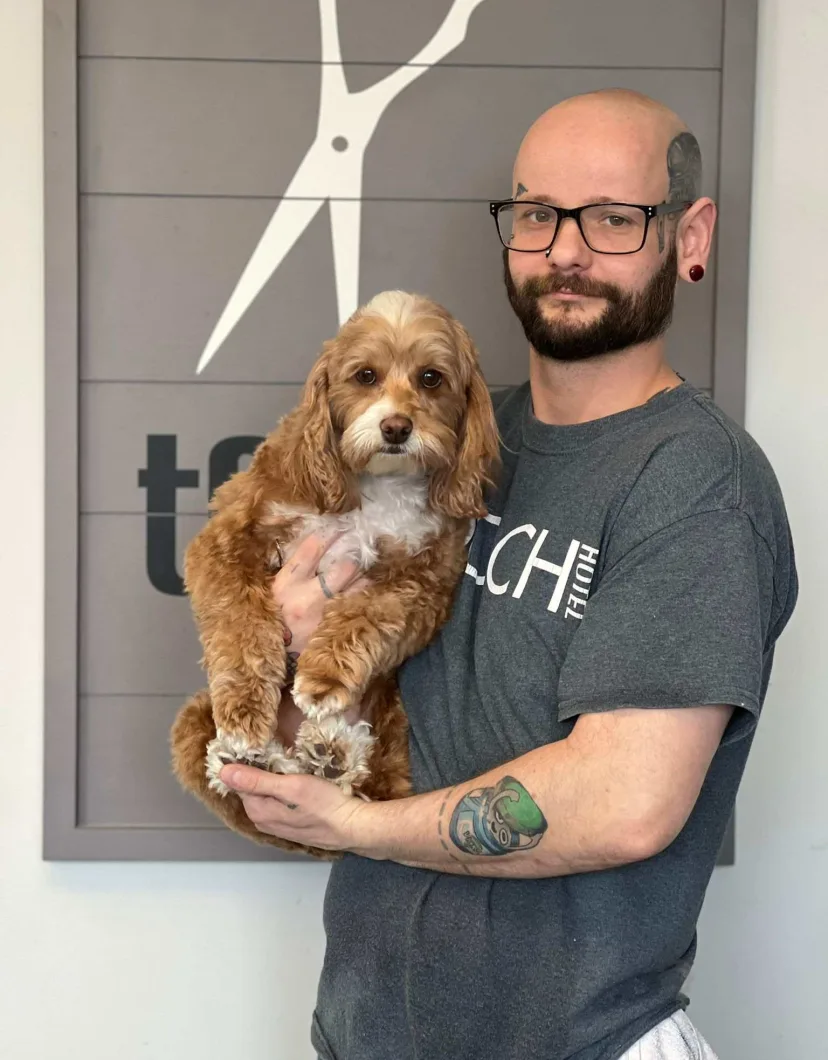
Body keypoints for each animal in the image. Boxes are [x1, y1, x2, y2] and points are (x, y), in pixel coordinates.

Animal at [169, 290, 498, 852]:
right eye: (365, 375)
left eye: (431, 378)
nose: (396, 427)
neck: (377, 483)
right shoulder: (226, 539)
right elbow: (239, 622)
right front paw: (244, 708)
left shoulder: (424, 581)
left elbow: (366, 616)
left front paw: (323, 677)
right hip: (191, 723)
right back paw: (254, 756)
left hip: (397, 719)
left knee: (372, 783)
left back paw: (333, 754)